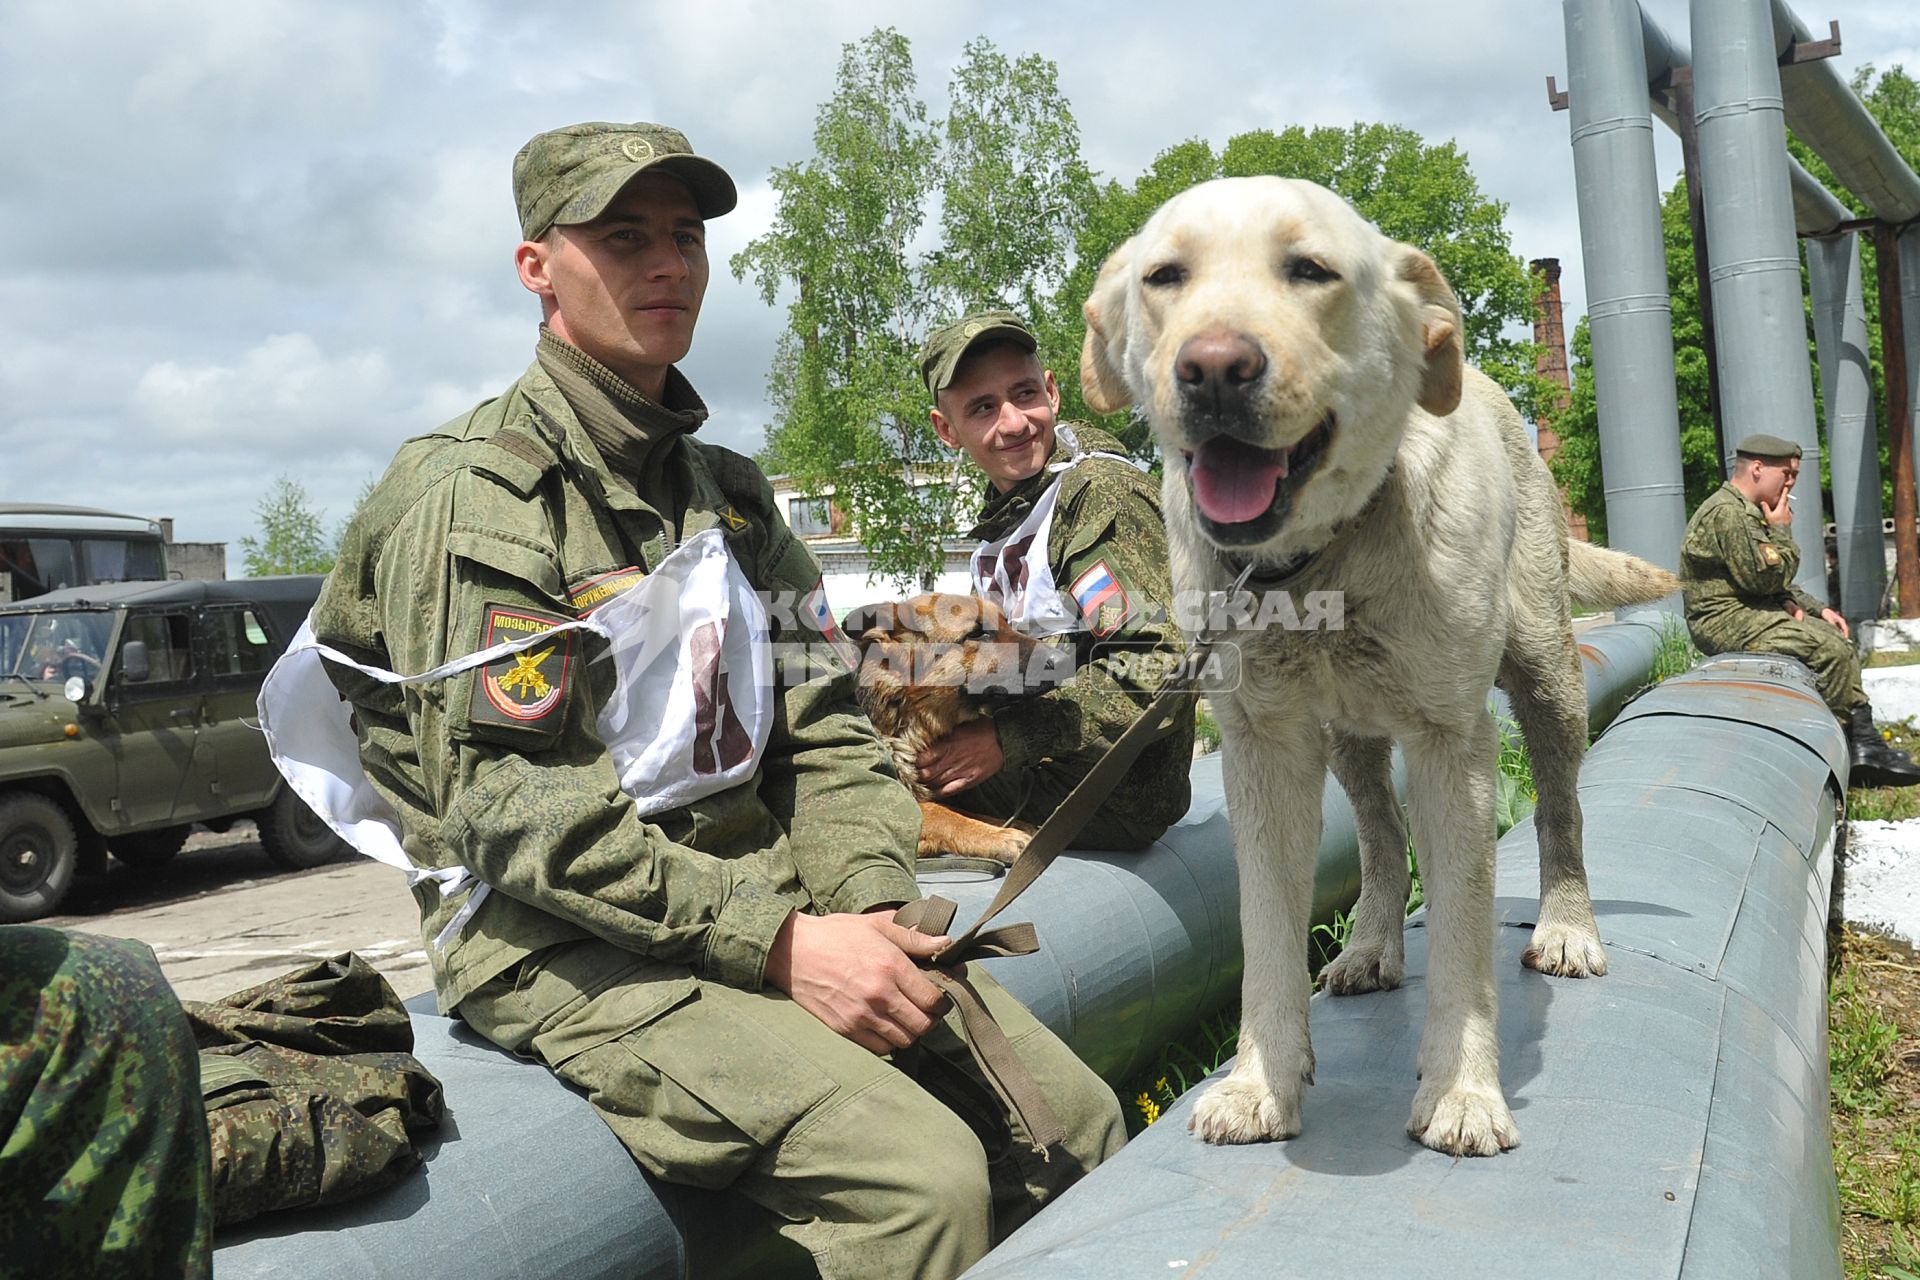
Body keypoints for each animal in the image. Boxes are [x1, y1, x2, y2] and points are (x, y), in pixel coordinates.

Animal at [844, 594, 1067, 867]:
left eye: (1007, 622)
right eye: (977, 633)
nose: (1066, 661)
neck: (902, 719)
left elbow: (964, 811)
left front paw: (1007, 827)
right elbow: (941, 813)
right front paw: (998, 836)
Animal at [1082, 175, 1681, 1159]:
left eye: (1310, 269)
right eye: (1165, 276)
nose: (1213, 367)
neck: (1317, 560)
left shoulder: (1452, 744)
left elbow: (1466, 941)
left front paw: (1463, 1094)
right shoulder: (1262, 748)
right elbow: (1266, 935)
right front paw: (1260, 1083)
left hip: (1548, 679)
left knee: (1560, 814)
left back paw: (1566, 928)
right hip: (1348, 738)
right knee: (1377, 838)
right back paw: (1368, 946)